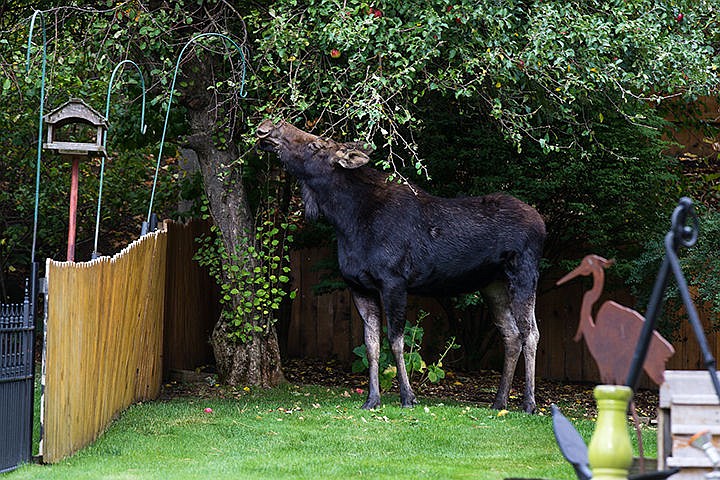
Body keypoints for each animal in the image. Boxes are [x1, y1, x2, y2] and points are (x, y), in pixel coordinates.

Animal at [258, 119, 544, 412]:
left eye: (315, 145)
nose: (269, 126)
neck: (346, 221)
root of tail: (542, 223)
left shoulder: (394, 282)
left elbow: (396, 342)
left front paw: (408, 396)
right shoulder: (359, 287)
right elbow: (371, 345)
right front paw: (372, 399)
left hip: (523, 273)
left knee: (530, 333)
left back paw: (529, 403)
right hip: (493, 284)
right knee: (511, 335)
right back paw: (499, 401)